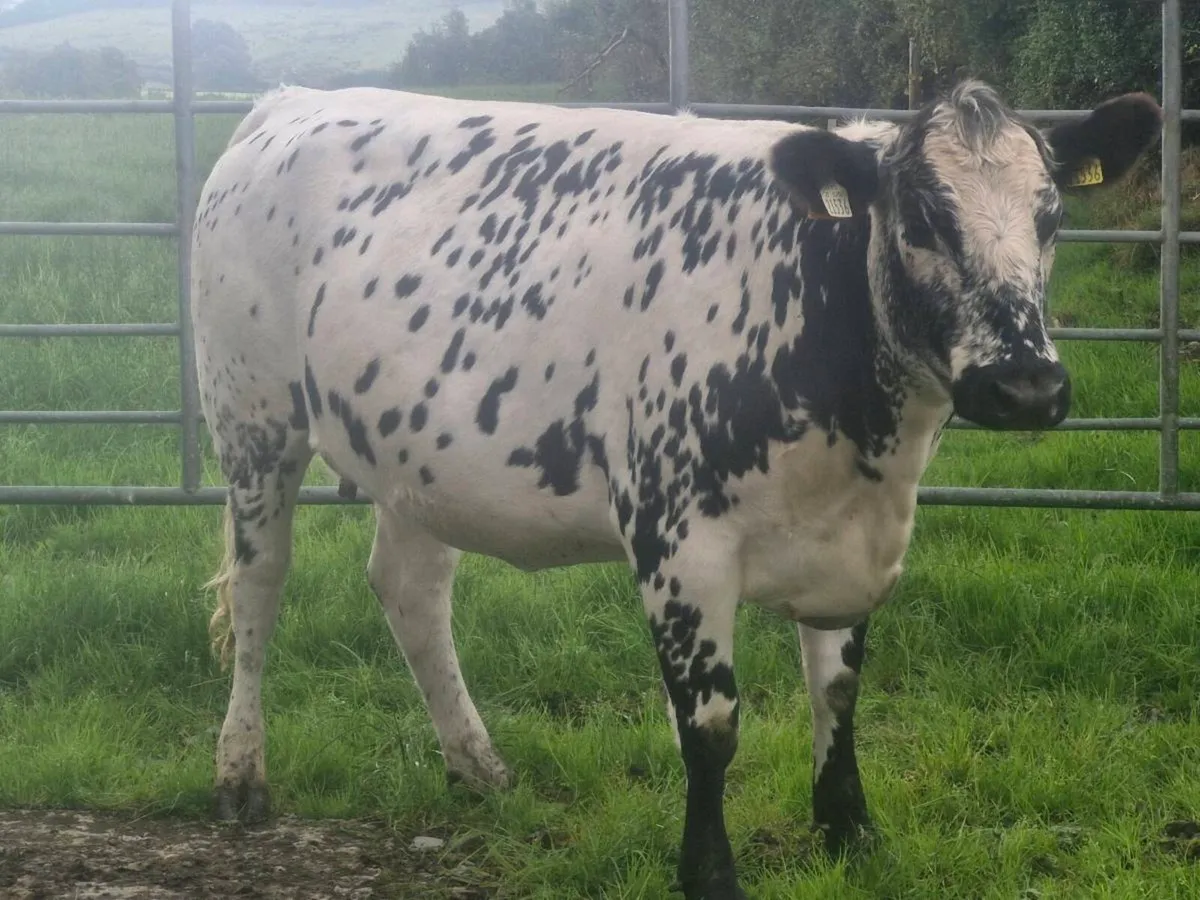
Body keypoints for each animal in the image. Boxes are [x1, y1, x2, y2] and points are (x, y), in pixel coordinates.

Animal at [192, 80, 1161, 899]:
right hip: (252, 420)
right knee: (259, 585)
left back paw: (478, 765)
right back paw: (240, 773)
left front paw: (849, 832)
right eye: (923, 217)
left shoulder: (855, 539)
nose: (1026, 385)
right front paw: (710, 874)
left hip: (415, 458)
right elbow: (711, 726)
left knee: (412, 591)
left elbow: (838, 692)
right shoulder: (676, 539)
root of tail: (287, 102)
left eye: (1052, 216)